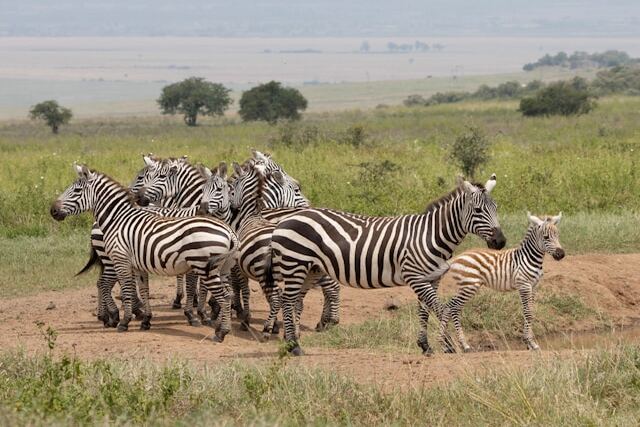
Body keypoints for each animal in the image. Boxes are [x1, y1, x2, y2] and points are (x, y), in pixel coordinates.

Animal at [51, 164, 238, 341]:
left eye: (76, 190)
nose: (52, 211)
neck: (118, 219)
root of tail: (229, 232)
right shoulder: (138, 265)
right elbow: (144, 290)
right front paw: (146, 320)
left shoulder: (121, 260)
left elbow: (128, 289)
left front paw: (125, 321)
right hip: (220, 268)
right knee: (228, 294)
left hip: (205, 267)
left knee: (225, 296)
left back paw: (221, 332)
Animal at [270, 174, 506, 355]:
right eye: (477, 210)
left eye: (496, 208)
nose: (501, 241)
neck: (431, 235)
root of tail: (286, 218)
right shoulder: (415, 276)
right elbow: (442, 309)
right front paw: (450, 345)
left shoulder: (431, 278)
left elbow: (425, 311)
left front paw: (426, 345)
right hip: (295, 263)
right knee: (287, 300)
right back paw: (293, 346)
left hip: (310, 268)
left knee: (295, 301)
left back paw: (293, 341)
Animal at [439, 212, 564, 352]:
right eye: (546, 237)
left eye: (557, 235)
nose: (561, 254)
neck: (529, 257)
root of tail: (457, 257)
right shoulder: (524, 285)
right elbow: (528, 313)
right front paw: (530, 342)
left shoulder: (533, 286)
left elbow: (531, 312)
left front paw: (530, 343)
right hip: (469, 286)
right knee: (454, 308)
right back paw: (461, 344)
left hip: (464, 286)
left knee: (449, 306)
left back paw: (446, 344)